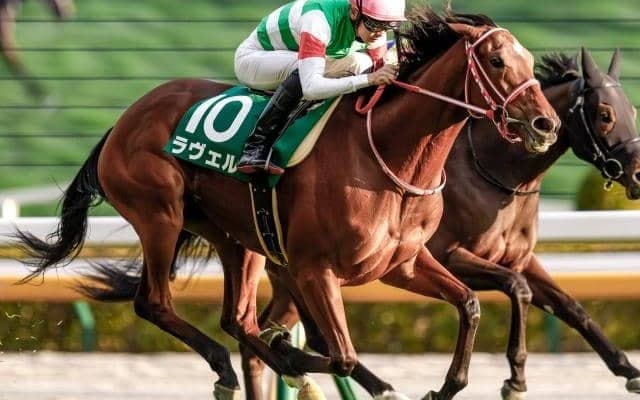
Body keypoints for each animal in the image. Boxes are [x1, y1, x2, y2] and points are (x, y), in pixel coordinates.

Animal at [13, 7, 560, 400]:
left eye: (530, 62)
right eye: (496, 62)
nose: (546, 124)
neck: (390, 158)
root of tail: (122, 120)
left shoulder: (401, 264)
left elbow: (469, 304)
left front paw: (449, 386)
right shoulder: (315, 269)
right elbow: (338, 352)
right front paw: (303, 363)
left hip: (238, 237)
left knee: (238, 318)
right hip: (159, 215)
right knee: (156, 303)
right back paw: (247, 365)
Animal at [240, 48, 640, 400]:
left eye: (632, 110)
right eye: (605, 114)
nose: (637, 173)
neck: (495, 173)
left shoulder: (520, 257)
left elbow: (569, 306)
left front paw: (628, 370)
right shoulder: (449, 255)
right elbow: (518, 288)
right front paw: (515, 378)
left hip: (290, 272)